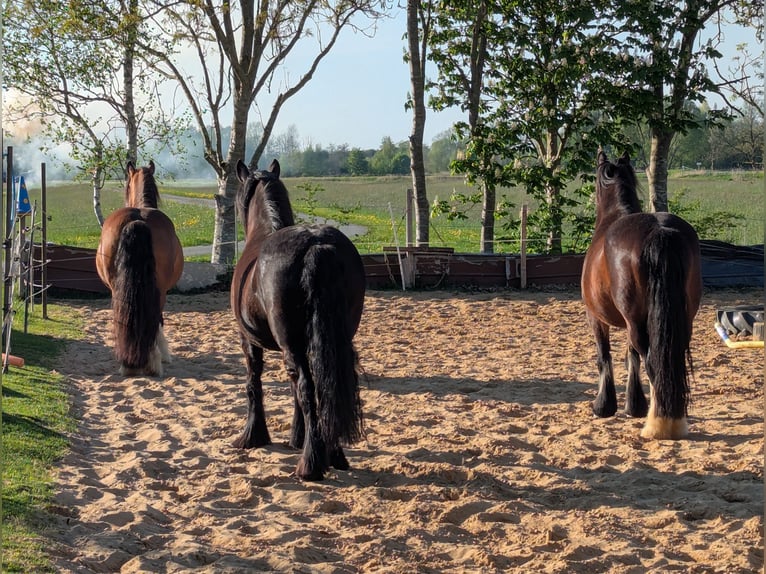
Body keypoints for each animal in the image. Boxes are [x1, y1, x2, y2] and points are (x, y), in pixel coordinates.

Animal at [231, 158, 366, 481]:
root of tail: (316, 245)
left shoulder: (249, 340)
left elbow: (254, 382)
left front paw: (253, 436)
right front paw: (297, 437)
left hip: (290, 343)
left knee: (307, 386)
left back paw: (311, 464)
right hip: (336, 340)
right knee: (327, 387)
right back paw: (333, 454)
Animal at [581, 150, 702, 439]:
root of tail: (659, 231)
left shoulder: (596, 318)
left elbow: (605, 357)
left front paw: (604, 406)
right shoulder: (630, 323)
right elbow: (630, 358)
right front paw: (634, 405)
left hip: (635, 322)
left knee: (653, 365)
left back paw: (659, 425)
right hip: (682, 320)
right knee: (669, 362)